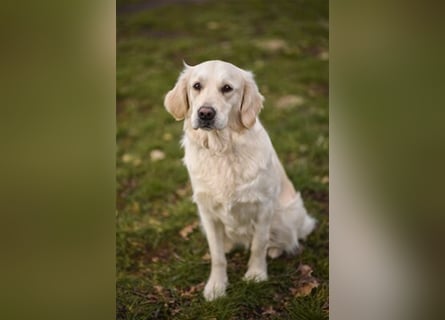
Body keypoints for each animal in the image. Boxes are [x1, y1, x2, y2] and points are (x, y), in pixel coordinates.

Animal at [164, 59, 316, 300]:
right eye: (196, 86)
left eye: (227, 88)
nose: (205, 113)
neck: (222, 150)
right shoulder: (206, 212)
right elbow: (217, 255)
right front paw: (216, 286)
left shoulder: (263, 206)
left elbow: (258, 245)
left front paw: (256, 275)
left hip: (287, 215)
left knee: (288, 238)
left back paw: (275, 249)